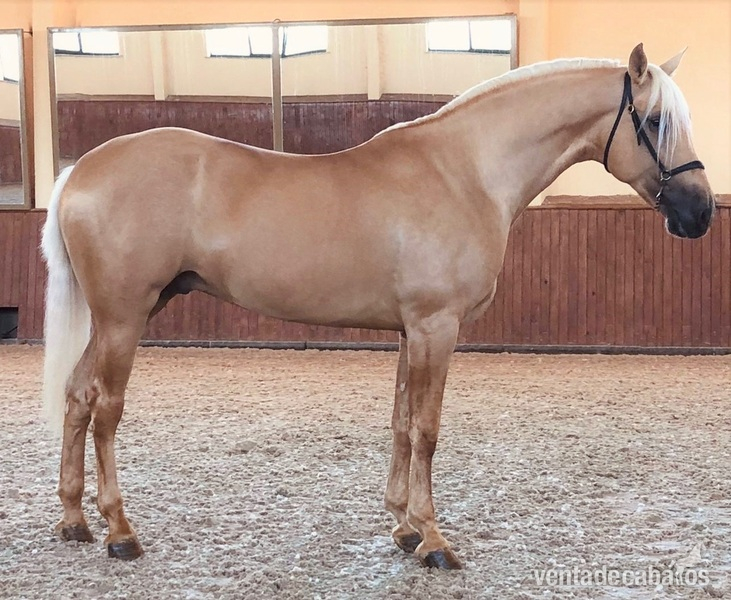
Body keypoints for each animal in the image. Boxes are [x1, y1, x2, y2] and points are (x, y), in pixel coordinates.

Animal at [41, 43, 715, 569]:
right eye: (656, 121)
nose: (700, 213)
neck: (462, 171)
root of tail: (80, 171)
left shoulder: (408, 331)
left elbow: (399, 422)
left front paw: (403, 527)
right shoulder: (437, 327)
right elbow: (427, 430)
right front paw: (435, 541)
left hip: (126, 315)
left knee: (76, 396)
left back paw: (74, 522)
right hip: (125, 318)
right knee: (105, 409)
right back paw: (120, 533)